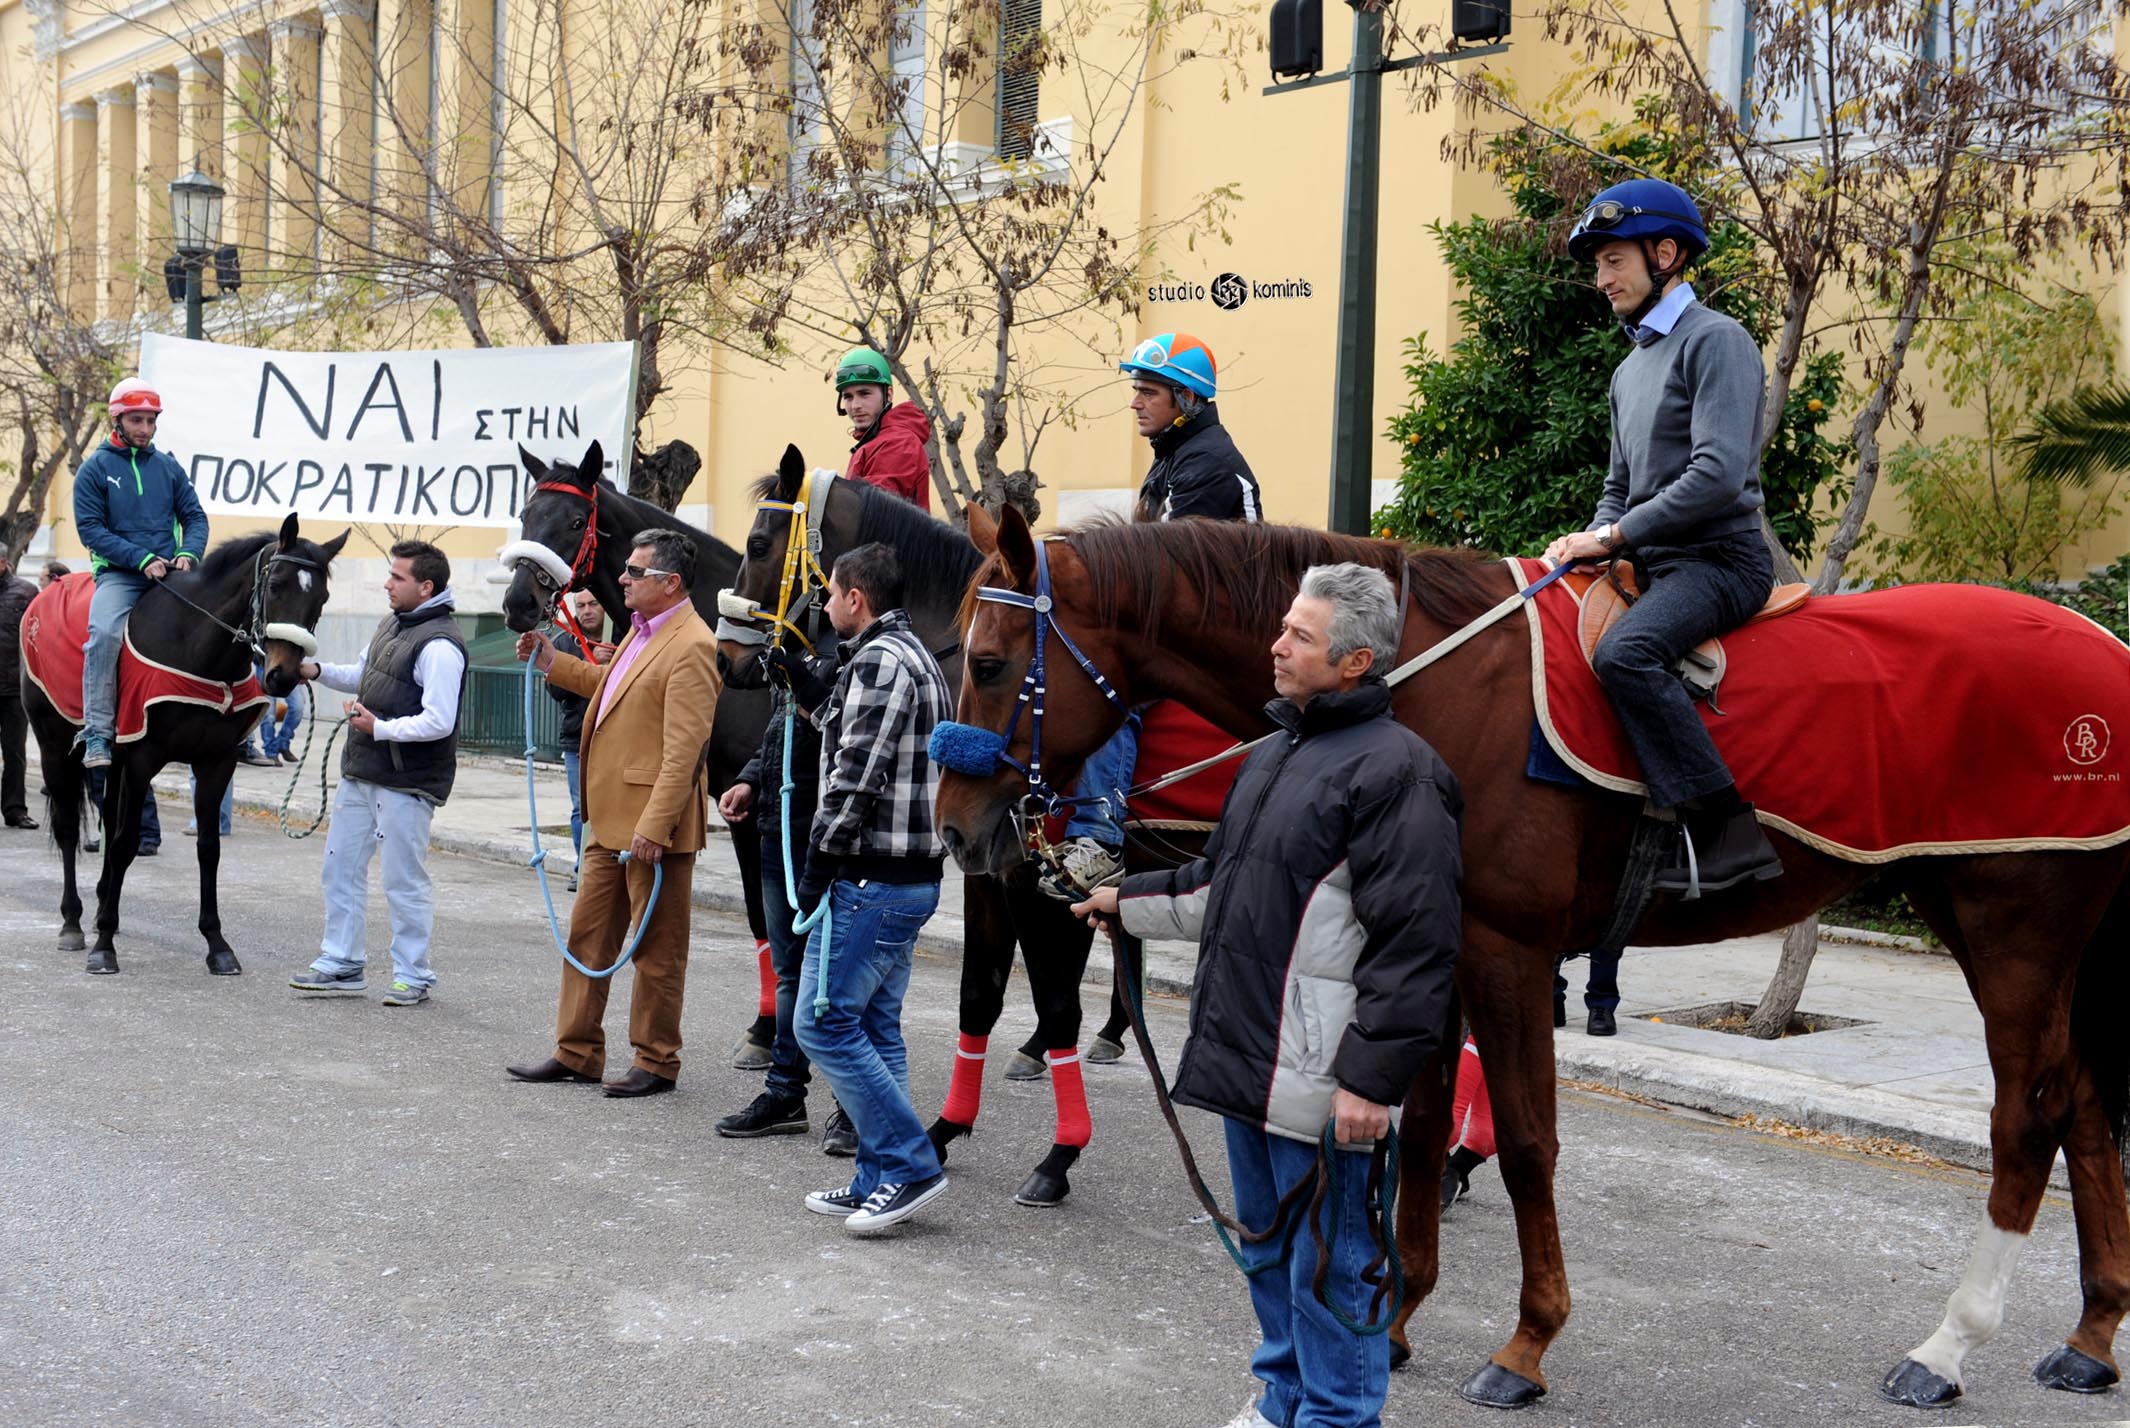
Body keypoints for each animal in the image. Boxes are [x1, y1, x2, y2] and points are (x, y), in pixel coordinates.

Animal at [932, 509, 2130, 1415]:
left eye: (987, 663)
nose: (955, 831)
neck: (1420, 681)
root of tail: (2104, 652)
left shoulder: (1505, 954)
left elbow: (1523, 1146)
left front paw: (1525, 1343)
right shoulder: (1428, 949)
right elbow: (1414, 1134)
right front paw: (1397, 1312)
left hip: (2015, 925)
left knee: (2026, 1119)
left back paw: (1948, 1346)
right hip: (1992, 919)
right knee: (2082, 1106)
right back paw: (2090, 1334)